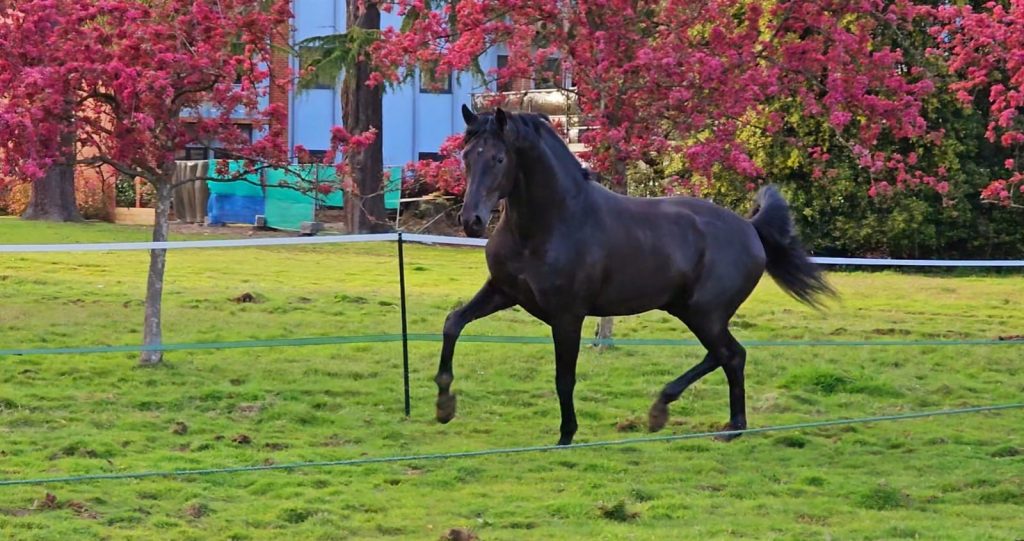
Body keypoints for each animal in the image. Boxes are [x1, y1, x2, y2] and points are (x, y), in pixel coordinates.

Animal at [432, 104, 831, 444]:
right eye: (467, 156)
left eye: (499, 158)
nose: (471, 220)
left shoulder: (567, 315)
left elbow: (565, 377)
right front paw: (444, 405)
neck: (552, 223)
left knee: (730, 355)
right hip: (690, 311)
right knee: (727, 356)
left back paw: (687, 416)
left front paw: (566, 435)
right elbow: (453, 322)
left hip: (706, 314)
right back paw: (717, 422)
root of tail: (751, 229)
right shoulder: (502, 291)